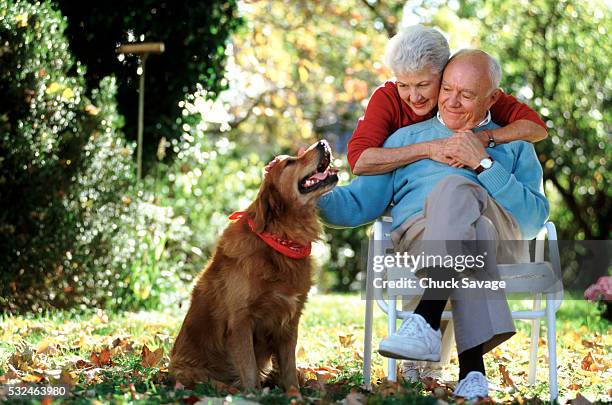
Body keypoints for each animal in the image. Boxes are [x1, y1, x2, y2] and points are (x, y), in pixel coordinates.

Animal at [170, 139, 338, 388]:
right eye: (290, 162)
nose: (323, 142)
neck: (280, 240)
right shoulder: (241, 321)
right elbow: (249, 370)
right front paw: (252, 393)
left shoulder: (289, 321)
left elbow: (289, 370)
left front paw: (294, 393)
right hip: (193, 373)